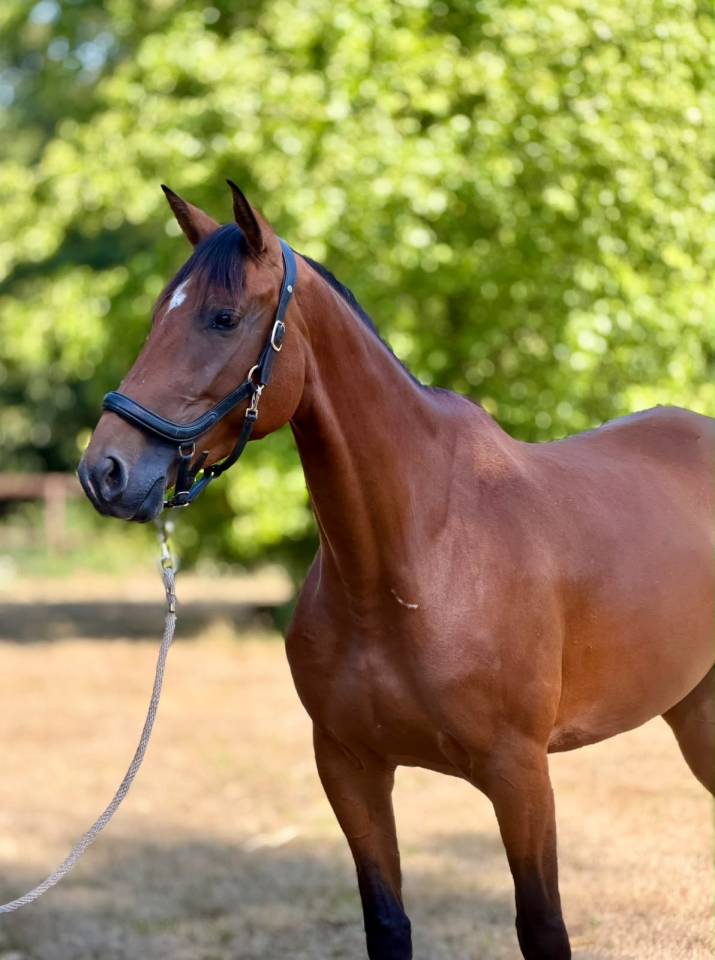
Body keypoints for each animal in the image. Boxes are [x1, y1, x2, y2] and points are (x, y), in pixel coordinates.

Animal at [79, 182, 714, 960]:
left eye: (222, 318)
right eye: (154, 317)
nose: (105, 472)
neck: (411, 561)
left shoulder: (521, 776)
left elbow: (542, 928)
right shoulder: (349, 768)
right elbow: (387, 922)